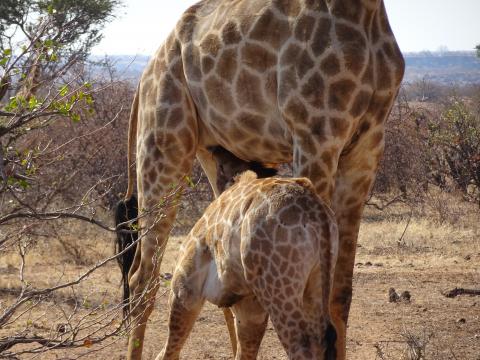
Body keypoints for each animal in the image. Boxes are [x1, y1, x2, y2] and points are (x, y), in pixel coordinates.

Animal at [159, 148, 340, 358]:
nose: (213, 150)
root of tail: (318, 213)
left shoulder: (185, 287)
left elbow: (169, 350)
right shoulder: (249, 308)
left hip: (278, 288)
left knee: (301, 344)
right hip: (317, 281)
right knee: (323, 337)